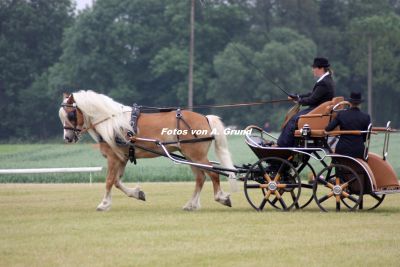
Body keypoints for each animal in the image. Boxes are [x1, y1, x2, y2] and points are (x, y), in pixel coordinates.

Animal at [57, 91, 236, 213]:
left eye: (71, 114)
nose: (67, 138)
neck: (112, 123)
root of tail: (205, 118)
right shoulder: (122, 158)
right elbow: (116, 181)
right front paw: (137, 193)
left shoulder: (113, 158)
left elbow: (109, 181)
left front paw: (104, 204)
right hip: (189, 156)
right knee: (200, 178)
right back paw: (191, 204)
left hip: (196, 155)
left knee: (212, 173)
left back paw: (221, 197)